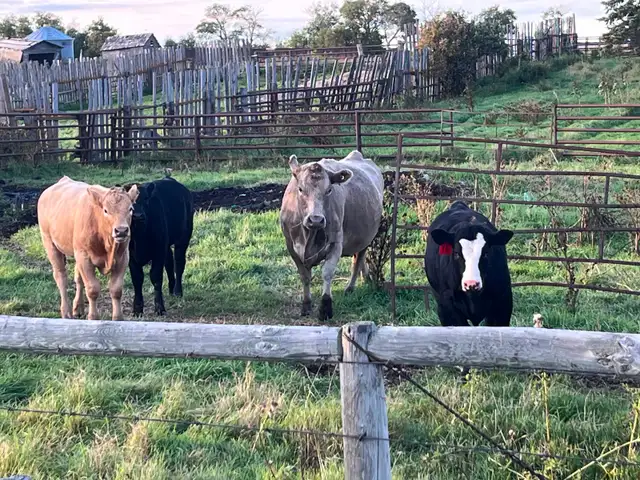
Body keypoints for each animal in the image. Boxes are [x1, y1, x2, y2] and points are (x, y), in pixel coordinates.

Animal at [37, 176, 138, 321]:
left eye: (130, 209)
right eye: (105, 210)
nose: (121, 231)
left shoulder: (123, 257)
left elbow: (116, 289)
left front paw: (118, 318)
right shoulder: (85, 257)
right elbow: (92, 289)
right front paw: (93, 317)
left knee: (78, 277)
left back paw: (78, 308)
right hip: (49, 243)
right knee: (61, 276)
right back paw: (66, 312)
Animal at [128, 175, 194, 316]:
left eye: (146, 198)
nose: (137, 216)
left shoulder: (158, 251)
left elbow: (156, 277)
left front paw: (159, 307)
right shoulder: (130, 255)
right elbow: (137, 279)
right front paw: (137, 309)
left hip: (183, 237)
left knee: (178, 263)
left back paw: (177, 291)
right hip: (167, 244)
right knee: (169, 262)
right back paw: (171, 288)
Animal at [280, 151, 383, 321]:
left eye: (329, 190)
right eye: (300, 189)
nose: (316, 219)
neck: (309, 236)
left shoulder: (336, 244)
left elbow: (327, 273)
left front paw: (326, 307)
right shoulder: (291, 246)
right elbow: (305, 276)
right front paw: (306, 305)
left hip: (366, 239)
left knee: (358, 261)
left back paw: (350, 287)